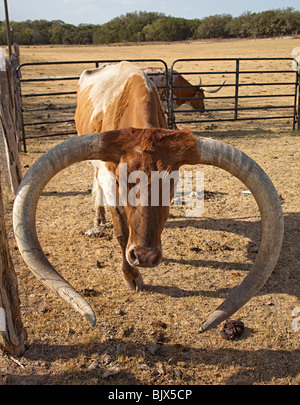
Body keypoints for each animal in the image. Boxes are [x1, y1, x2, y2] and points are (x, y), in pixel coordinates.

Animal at [12, 60, 284, 332]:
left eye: (172, 182)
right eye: (123, 181)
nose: (144, 256)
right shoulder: (109, 176)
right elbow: (121, 231)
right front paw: (131, 276)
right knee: (96, 184)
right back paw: (98, 219)